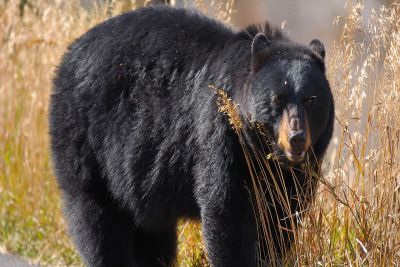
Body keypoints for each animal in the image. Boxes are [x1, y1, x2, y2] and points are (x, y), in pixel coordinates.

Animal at [49, 5, 334, 267]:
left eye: (310, 99)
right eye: (278, 98)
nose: (296, 138)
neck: (263, 152)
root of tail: (69, 55)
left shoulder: (297, 173)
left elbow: (281, 219)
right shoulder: (222, 137)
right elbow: (227, 211)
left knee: (151, 233)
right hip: (87, 140)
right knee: (97, 220)